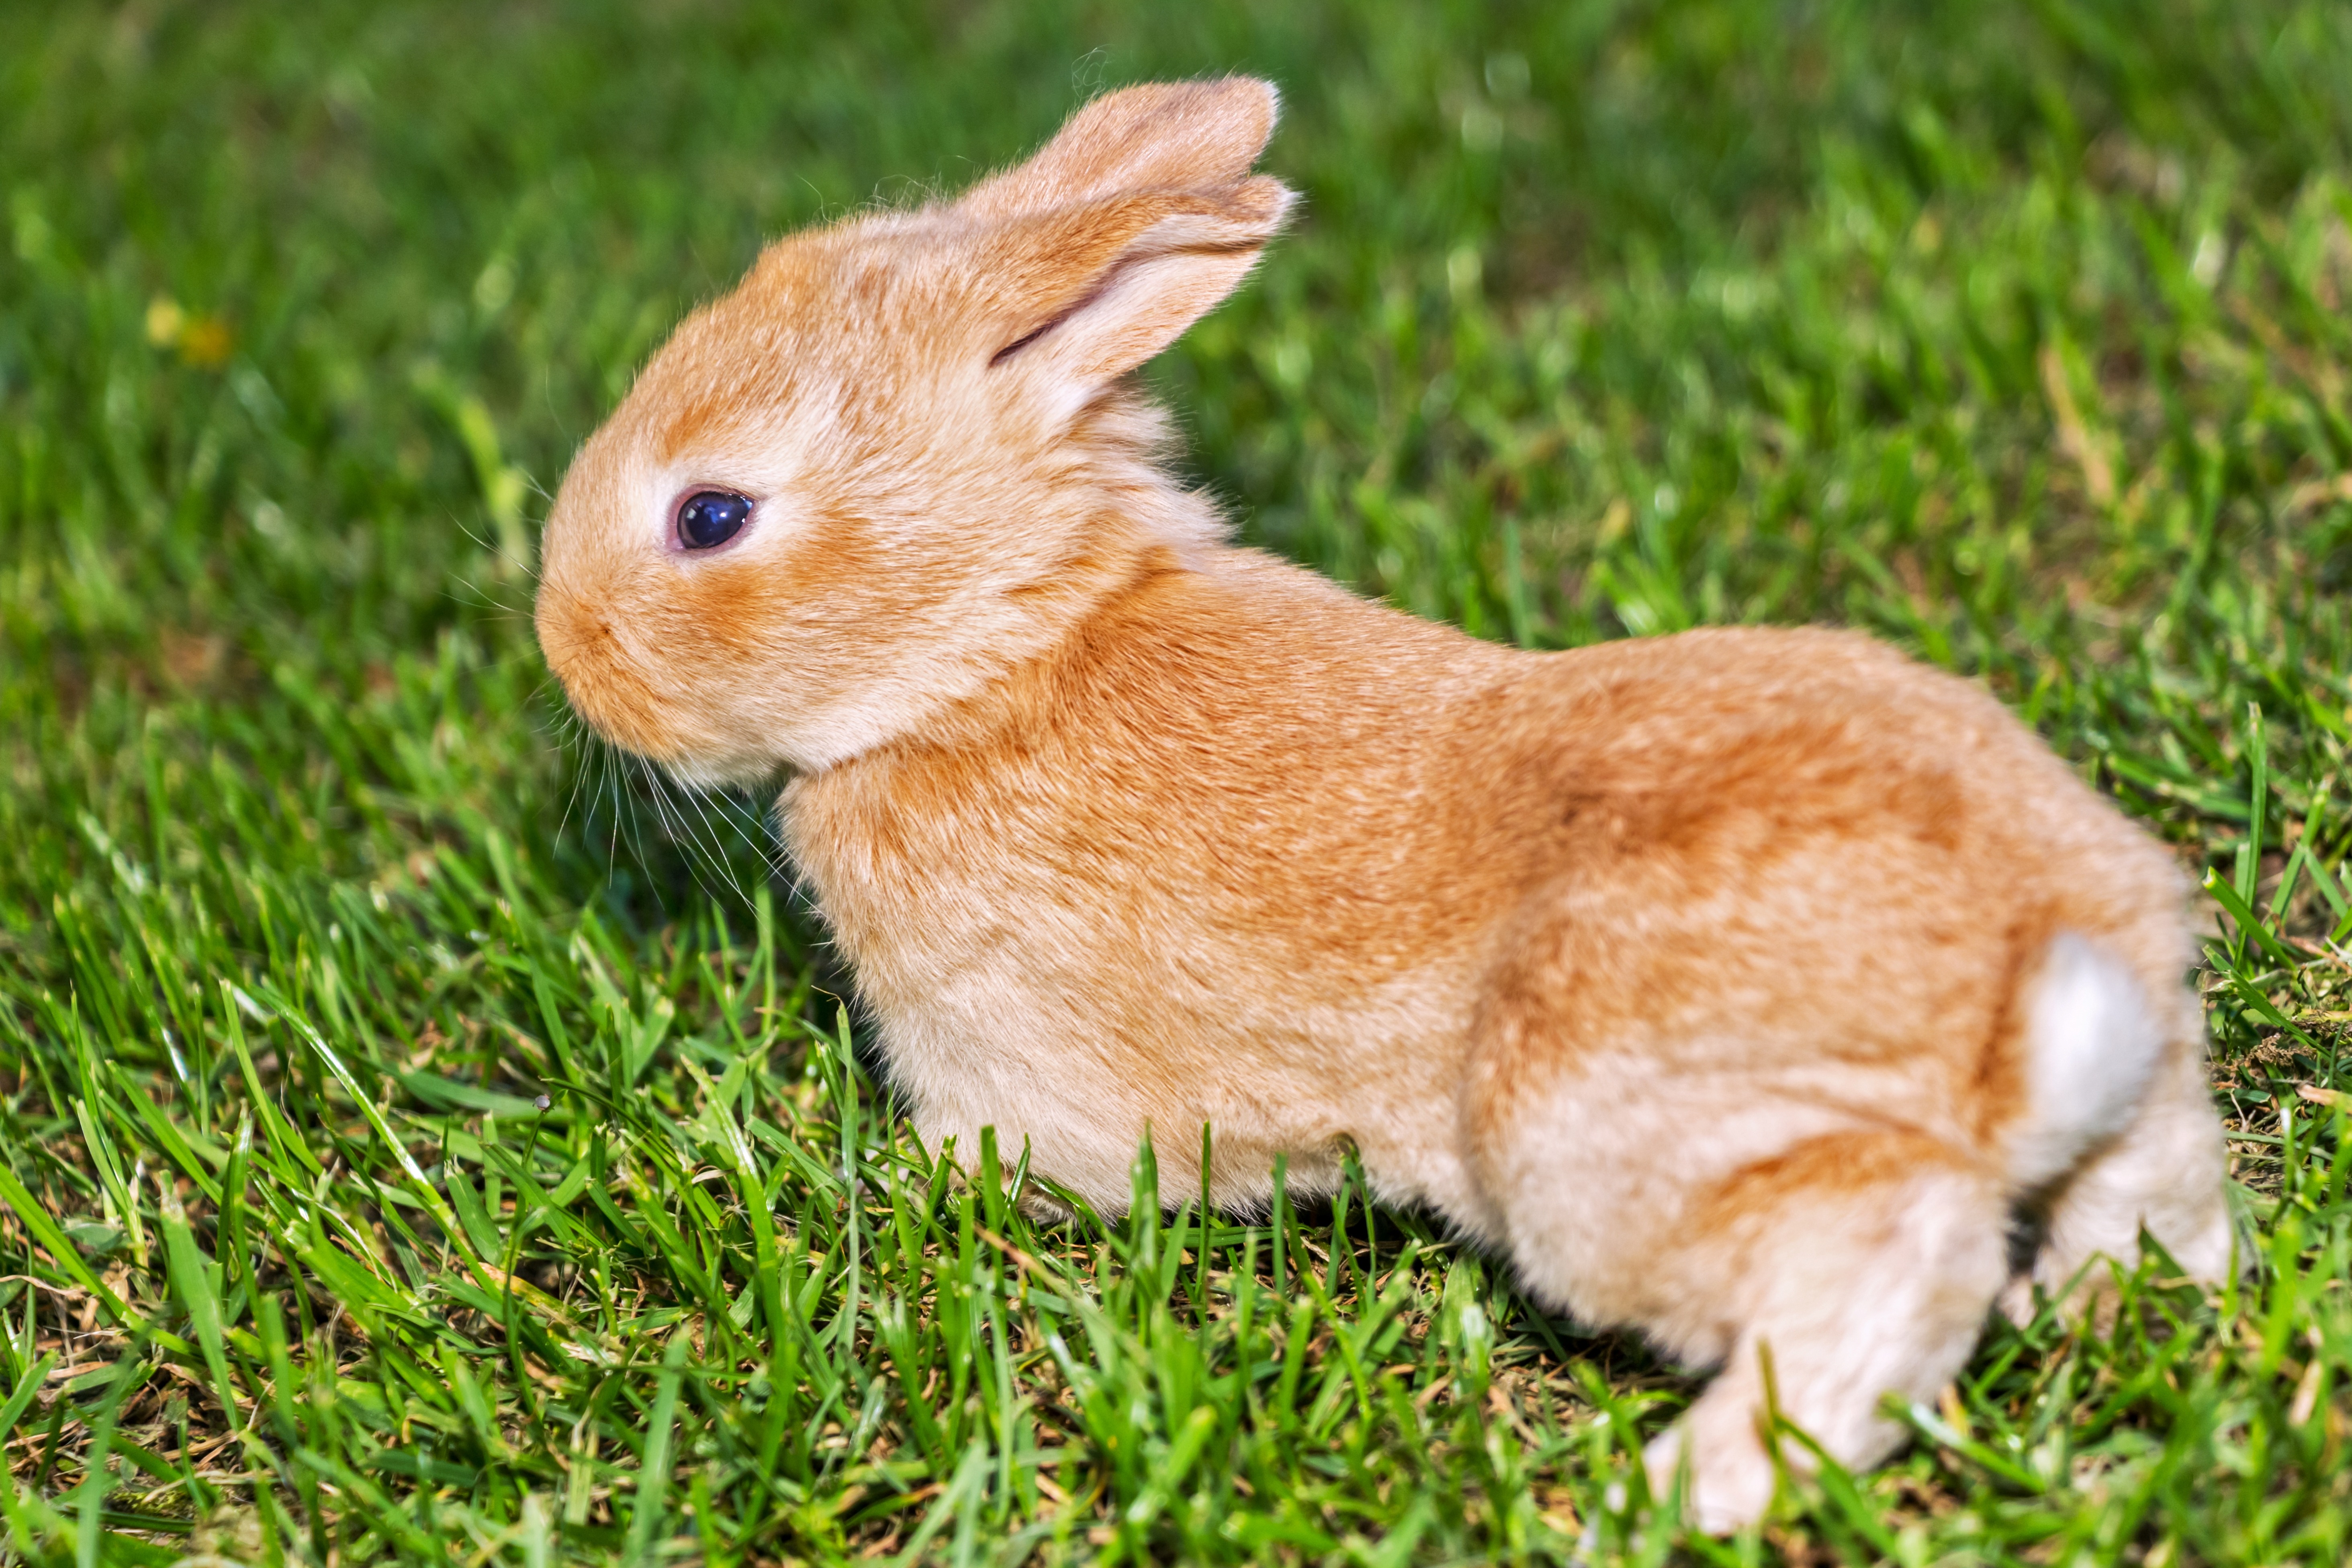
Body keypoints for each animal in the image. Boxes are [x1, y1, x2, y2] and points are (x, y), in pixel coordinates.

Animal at [524, 76, 2229, 1533]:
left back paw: (1672, 1492)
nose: (563, 644)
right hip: (2129, 1090)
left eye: (711, 515)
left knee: (1878, 1271)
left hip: (1588, 1141)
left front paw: (884, 1184)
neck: (1000, 651)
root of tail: (2034, 978)